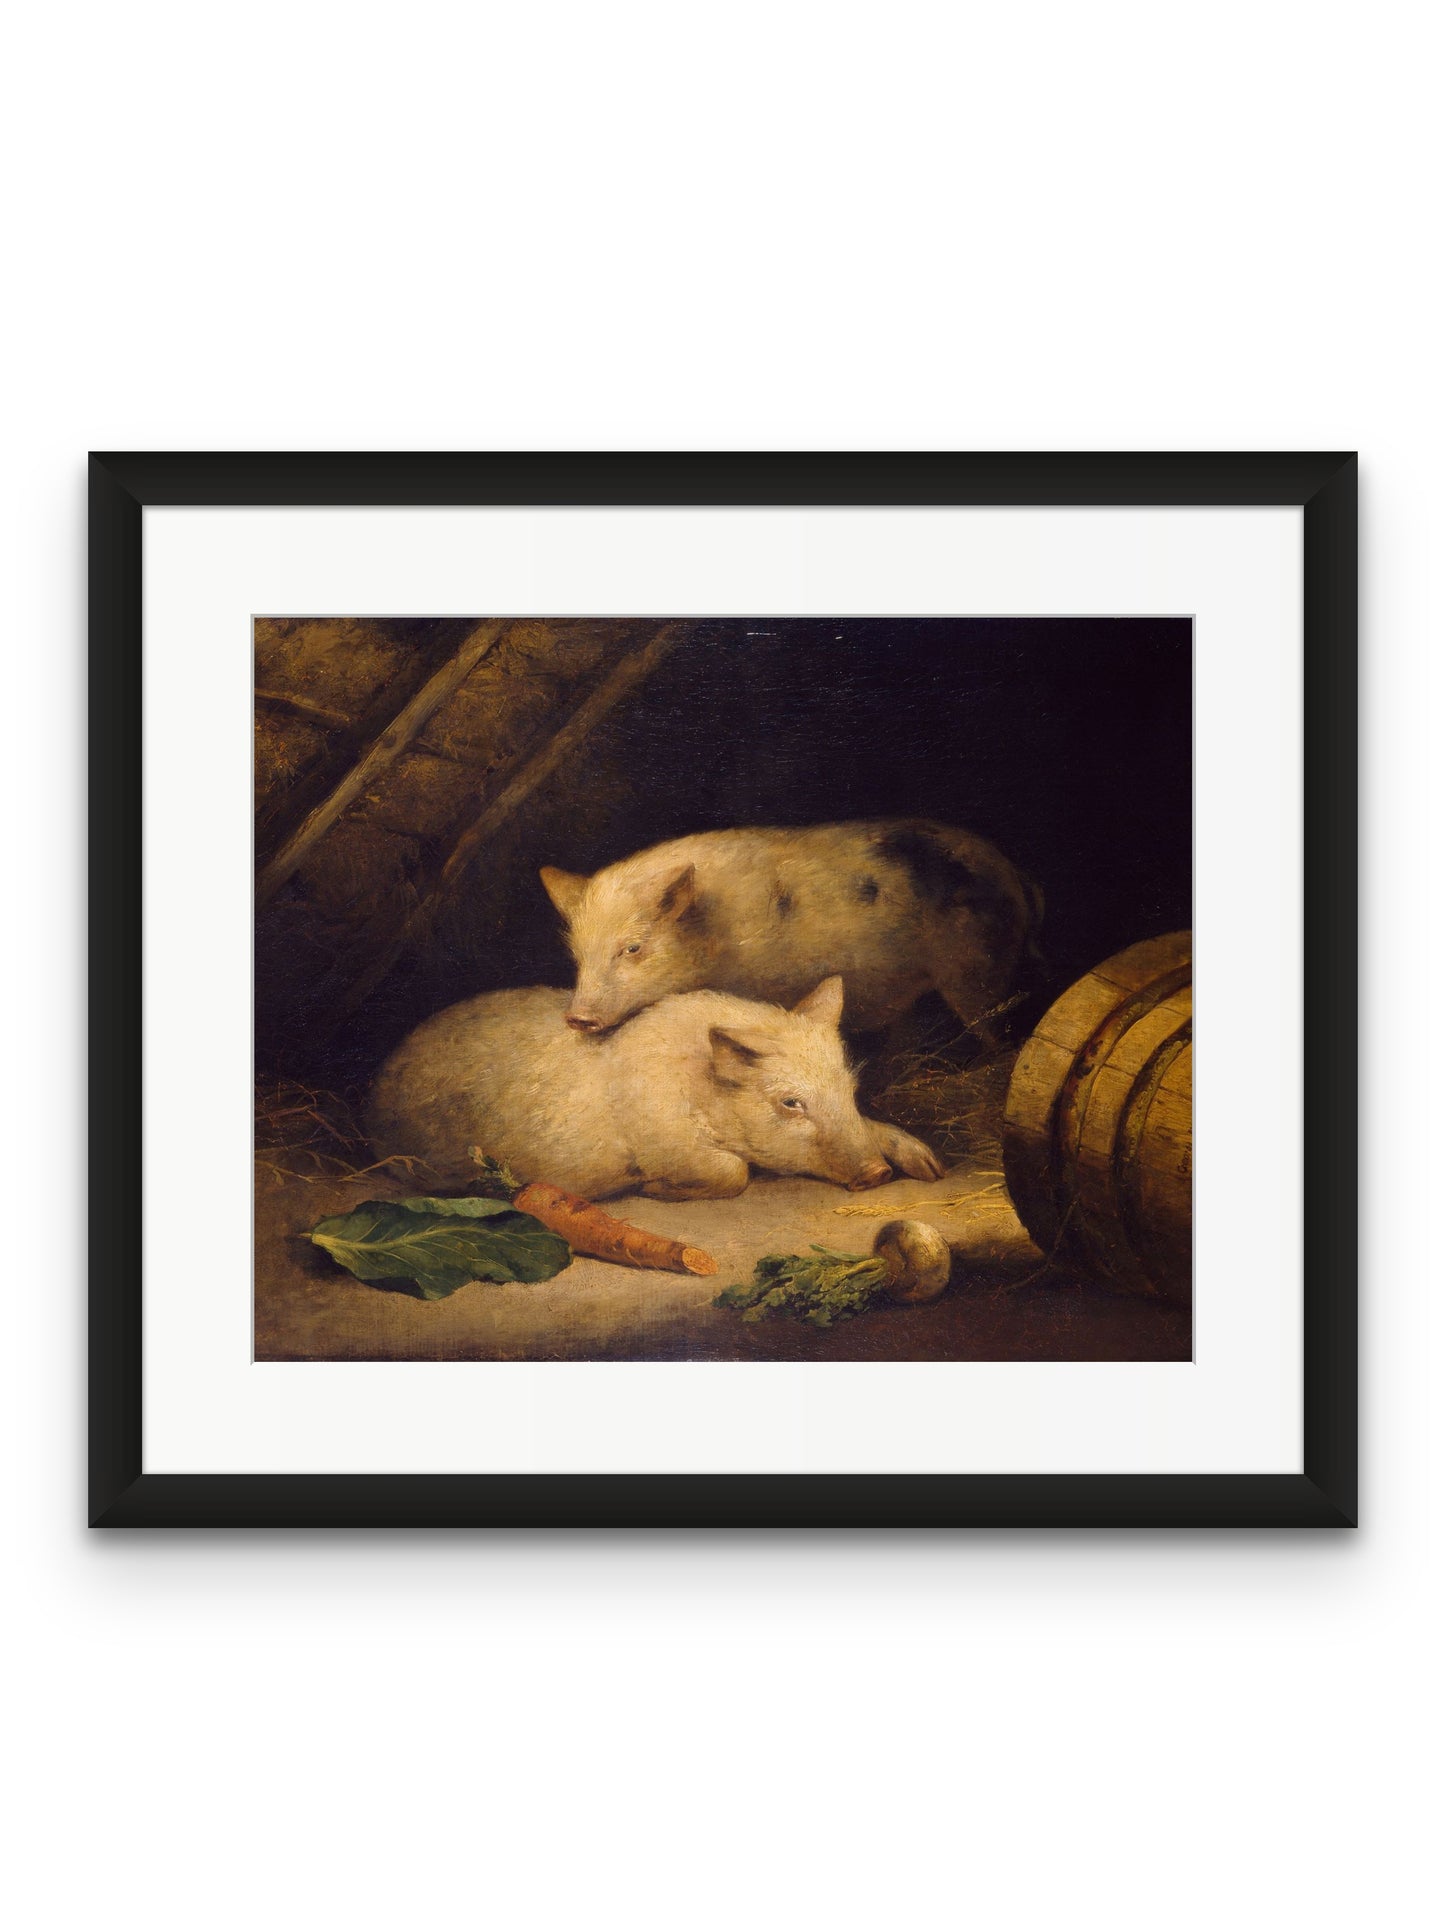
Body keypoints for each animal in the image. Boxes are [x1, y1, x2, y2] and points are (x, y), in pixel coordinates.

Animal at [366, 976, 943, 1199]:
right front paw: (650, 1189)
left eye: (849, 1089)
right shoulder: (661, 1141)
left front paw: (929, 1166)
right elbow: (733, 1172)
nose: (877, 1174)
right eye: (791, 1102)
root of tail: (374, 1090)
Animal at [540, 819, 1042, 1040]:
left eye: (632, 948)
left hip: (979, 972)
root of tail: (1015, 873)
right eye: (577, 956)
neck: (716, 938)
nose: (576, 1017)